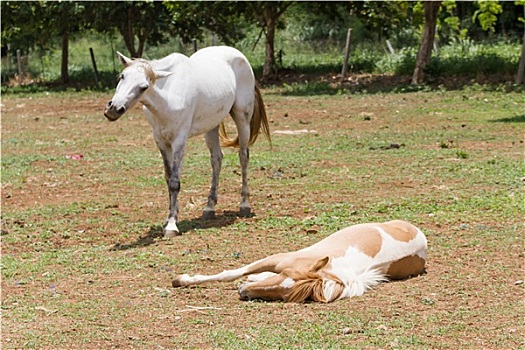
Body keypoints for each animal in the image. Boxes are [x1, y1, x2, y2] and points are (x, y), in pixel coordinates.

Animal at [105, 46, 272, 237]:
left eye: (144, 87)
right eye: (122, 76)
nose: (114, 109)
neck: (168, 95)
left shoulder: (179, 140)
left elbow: (175, 182)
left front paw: (171, 225)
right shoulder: (160, 141)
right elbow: (168, 177)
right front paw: (171, 217)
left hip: (242, 118)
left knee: (243, 156)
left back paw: (244, 205)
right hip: (211, 126)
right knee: (217, 159)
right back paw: (209, 208)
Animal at [172, 220, 426, 302]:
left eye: (286, 296)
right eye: (287, 275)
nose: (243, 293)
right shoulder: (277, 259)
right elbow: (231, 273)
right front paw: (181, 280)